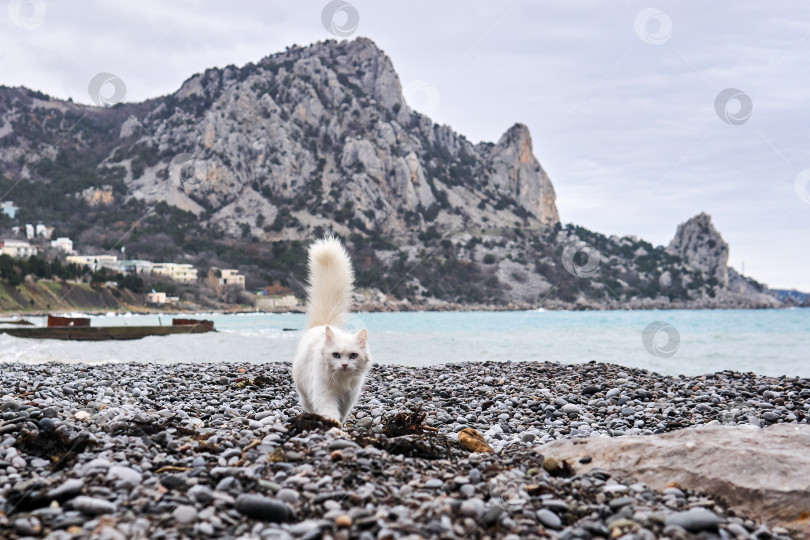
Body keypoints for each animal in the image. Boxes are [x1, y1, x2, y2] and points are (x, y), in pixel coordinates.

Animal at [292, 238, 370, 424]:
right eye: (336, 355)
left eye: (353, 356)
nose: (344, 364)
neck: (341, 382)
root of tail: (323, 324)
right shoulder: (325, 394)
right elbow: (329, 410)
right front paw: (332, 423)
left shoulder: (348, 399)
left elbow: (343, 413)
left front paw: (340, 423)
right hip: (304, 392)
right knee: (309, 405)